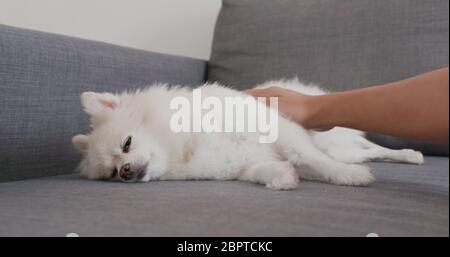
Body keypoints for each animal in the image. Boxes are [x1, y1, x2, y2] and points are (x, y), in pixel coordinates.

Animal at [72, 79, 424, 189]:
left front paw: (348, 177)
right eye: (111, 173)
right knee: (367, 150)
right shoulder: (245, 164)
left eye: (127, 144)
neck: (189, 145)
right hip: (345, 147)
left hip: (337, 141)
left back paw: (408, 154)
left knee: (371, 148)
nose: (125, 172)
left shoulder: (283, 132)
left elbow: (313, 158)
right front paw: (282, 177)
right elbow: (264, 170)